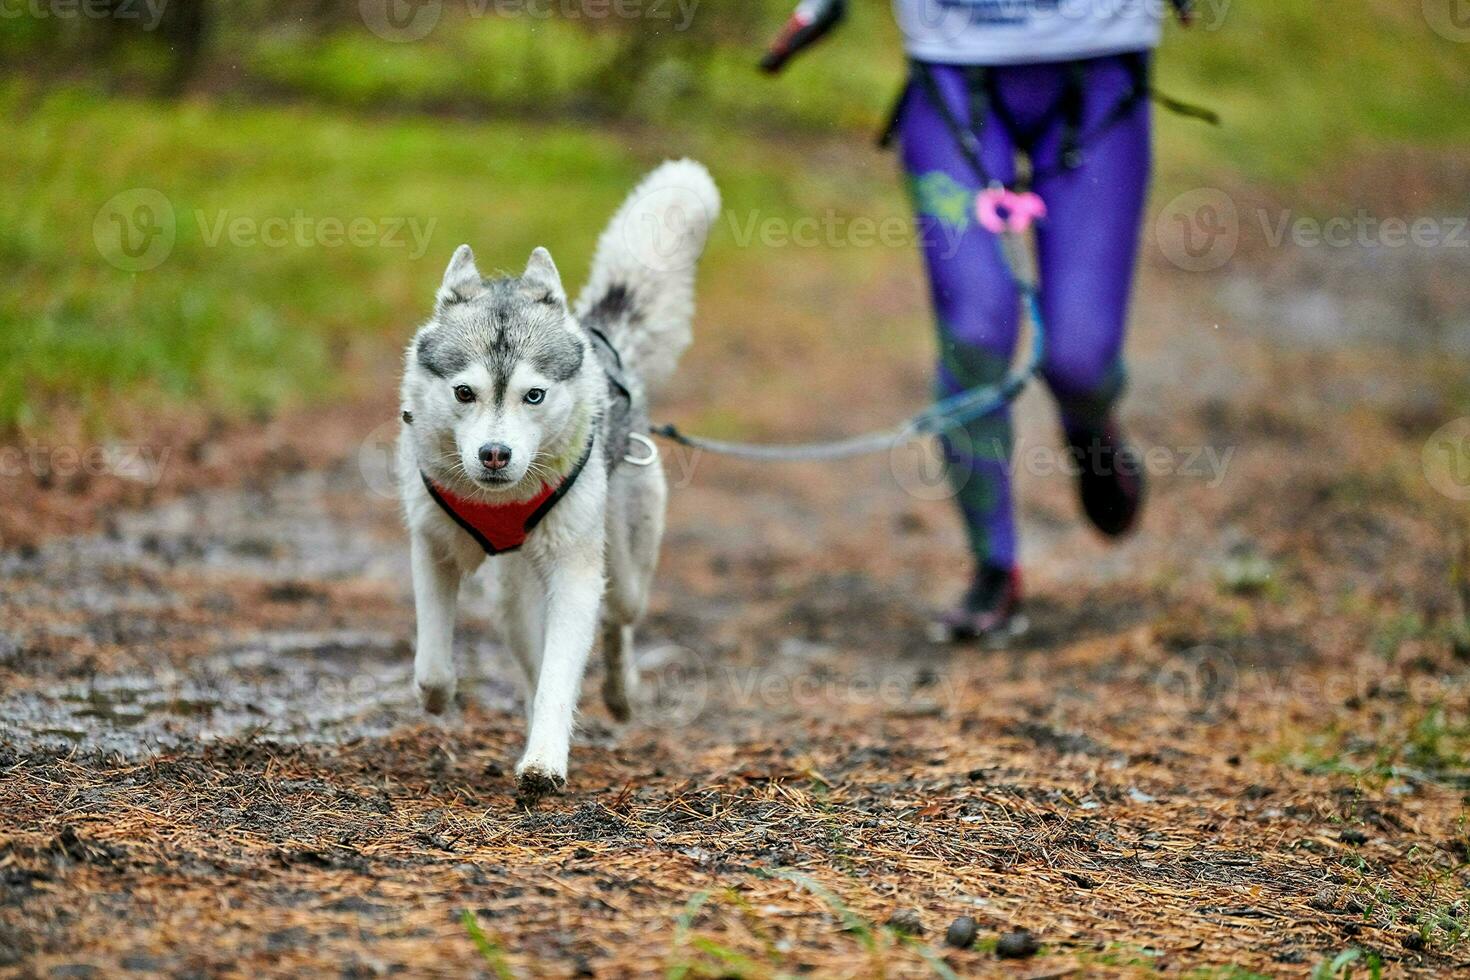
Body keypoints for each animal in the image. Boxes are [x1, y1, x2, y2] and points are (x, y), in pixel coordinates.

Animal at [396, 160, 717, 799]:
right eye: (463, 392)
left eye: (533, 395)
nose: (495, 455)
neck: (501, 502)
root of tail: (601, 341)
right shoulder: (432, 547)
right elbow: (434, 667)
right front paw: (442, 697)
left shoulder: (575, 574)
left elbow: (561, 672)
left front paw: (545, 760)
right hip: (512, 600)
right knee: (528, 658)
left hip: (625, 566)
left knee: (617, 622)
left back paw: (620, 693)